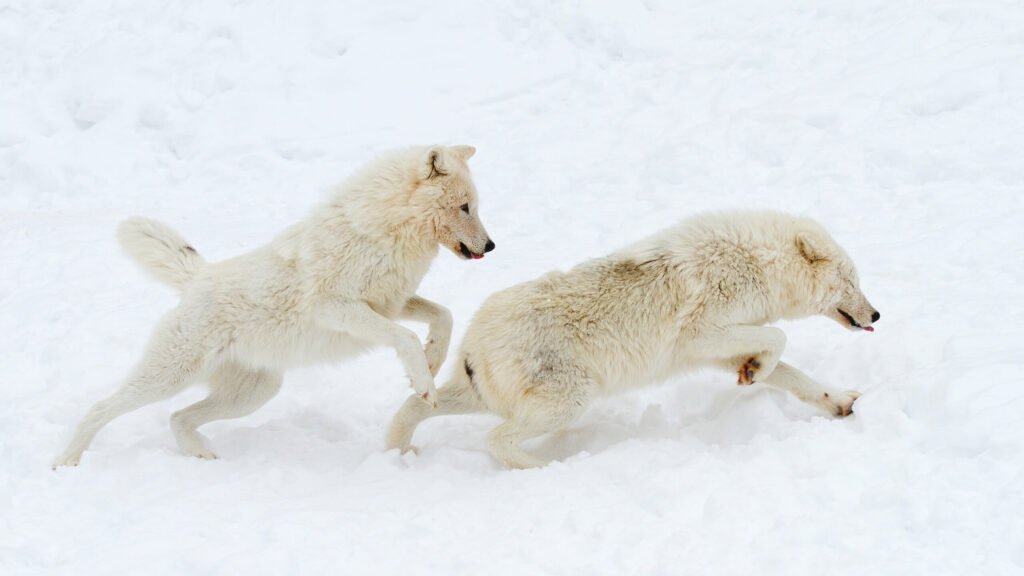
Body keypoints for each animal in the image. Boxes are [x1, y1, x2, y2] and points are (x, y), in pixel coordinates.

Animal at [54, 145, 494, 467]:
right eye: (465, 207)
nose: (490, 246)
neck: (381, 232)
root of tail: (198, 275)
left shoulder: (391, 303)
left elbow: (443, 315)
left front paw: (432, 361)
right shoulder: (341, 309)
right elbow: (405, 337)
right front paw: (424, 384)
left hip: (253, 395)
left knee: (177, 417)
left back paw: (201, 455)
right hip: (168, 379)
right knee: (101, 408)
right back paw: (66, 462)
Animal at [387, 210, 879, 469]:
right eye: (851, 282)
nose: (876, 314)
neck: (758, 263)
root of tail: (473, 340)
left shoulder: (719, 348)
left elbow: (794, 375)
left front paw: (835, 401)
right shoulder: (702, 335)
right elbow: (779, 337)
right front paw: (758, 371)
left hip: (477, 396)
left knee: (413, 405)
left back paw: (398, 451)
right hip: (569, 402)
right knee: (497, 440)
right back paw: (552, 468)